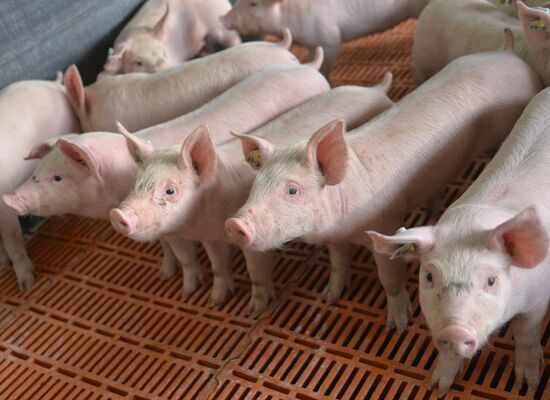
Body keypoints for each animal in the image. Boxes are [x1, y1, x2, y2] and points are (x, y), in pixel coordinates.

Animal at [227, 43, 544, 332]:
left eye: (292, 190)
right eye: (256, 184)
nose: (234, 223)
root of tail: (508, 54)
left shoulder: (387, 221)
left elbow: (389, 279)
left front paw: (397, 325)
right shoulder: (335, 236)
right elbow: (338, 262)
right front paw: (330, 297)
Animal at [368, 86, 550, 394]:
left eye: (491, 280)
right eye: (429, 276)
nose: (454, 330)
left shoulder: (537, 301)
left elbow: (526, 336)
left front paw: (527, 382)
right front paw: (437, 386)